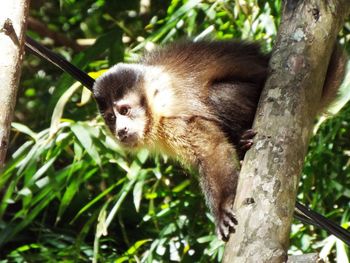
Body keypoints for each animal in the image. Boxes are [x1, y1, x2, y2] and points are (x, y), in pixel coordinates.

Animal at [93, 40, 348, 241]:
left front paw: (223, 205)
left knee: (217, 95)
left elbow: (211, 150)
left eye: (124, 110)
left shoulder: (174, 119)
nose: (120, 130)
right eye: (111, 118)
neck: (153, 110)